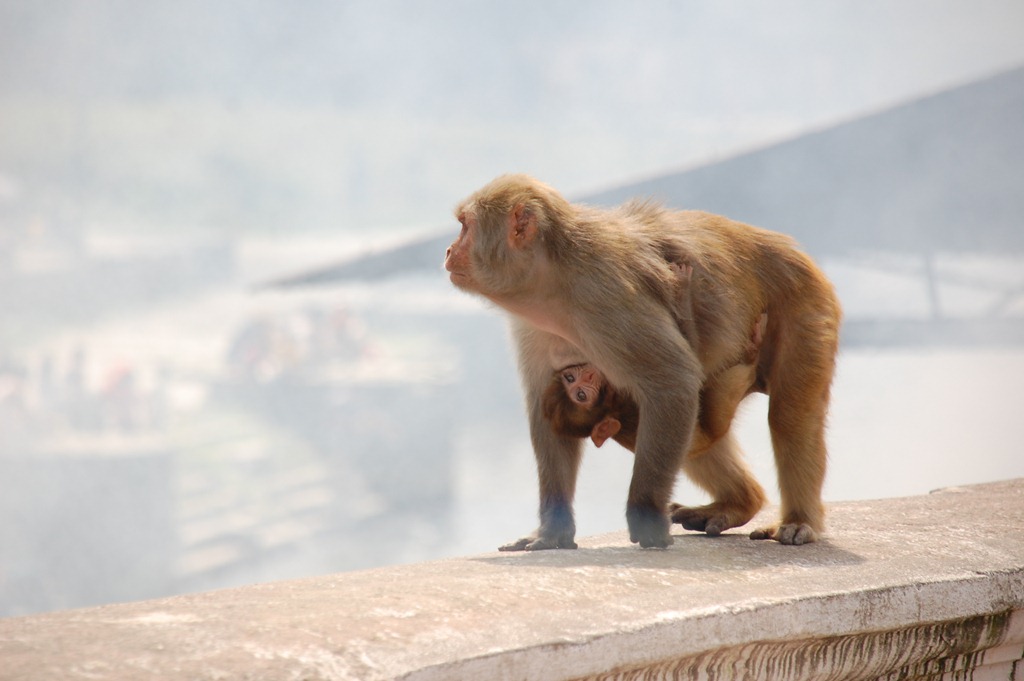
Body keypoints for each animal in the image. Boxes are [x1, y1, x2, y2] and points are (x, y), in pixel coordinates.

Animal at [446, 174, 839, 548]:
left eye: (465, 225)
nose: (449, 249)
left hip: (806, 306)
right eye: (572, 383)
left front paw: (646, 519)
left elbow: (672, 381)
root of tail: (789, 249)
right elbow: (546, 410)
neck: (553, 283)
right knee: (699, 430)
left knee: (788, 417)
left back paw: (798, 520)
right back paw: (739, 502)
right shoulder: (533, 328)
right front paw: (552, 532)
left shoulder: (606, 296)